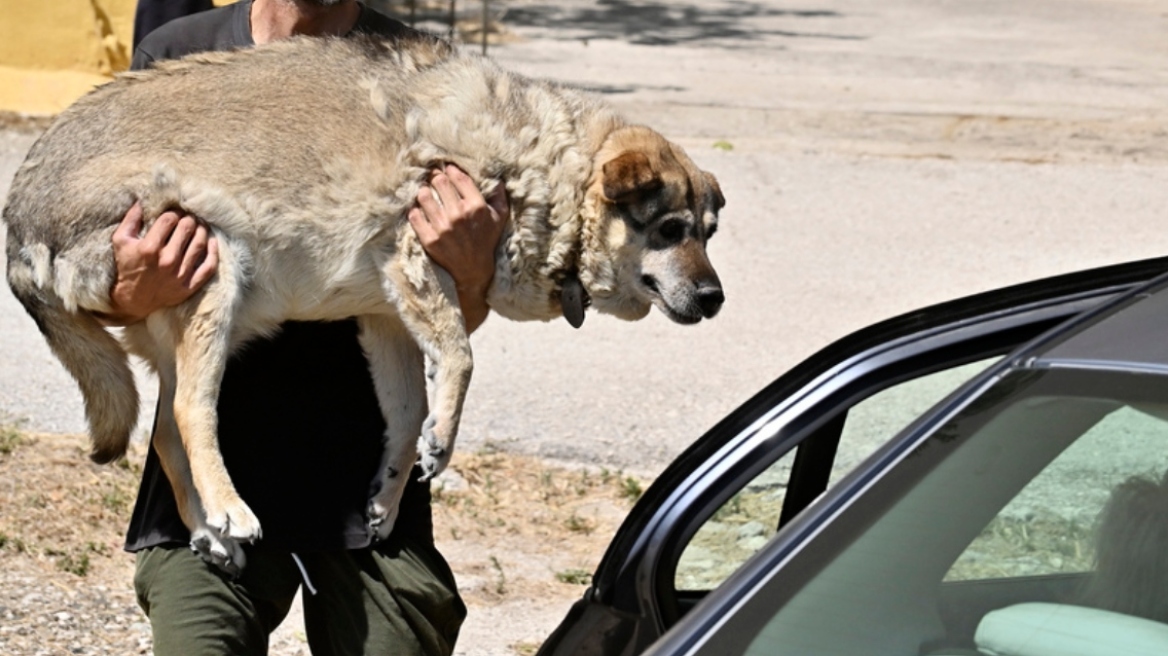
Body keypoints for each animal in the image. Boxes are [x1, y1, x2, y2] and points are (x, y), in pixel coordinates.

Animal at [4, 35, 724, 569]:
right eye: (670, 231)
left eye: (708, 233)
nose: (716, 297)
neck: (549, 168)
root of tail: (17, 217)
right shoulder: (416, 258)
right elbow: (461, 362)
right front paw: (443, 443)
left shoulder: (387, 317)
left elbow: (406, 416)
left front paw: (391, 493)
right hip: (215, 270)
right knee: (188, 413)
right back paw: (230, 511)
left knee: (161, 429)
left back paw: (209, 532)